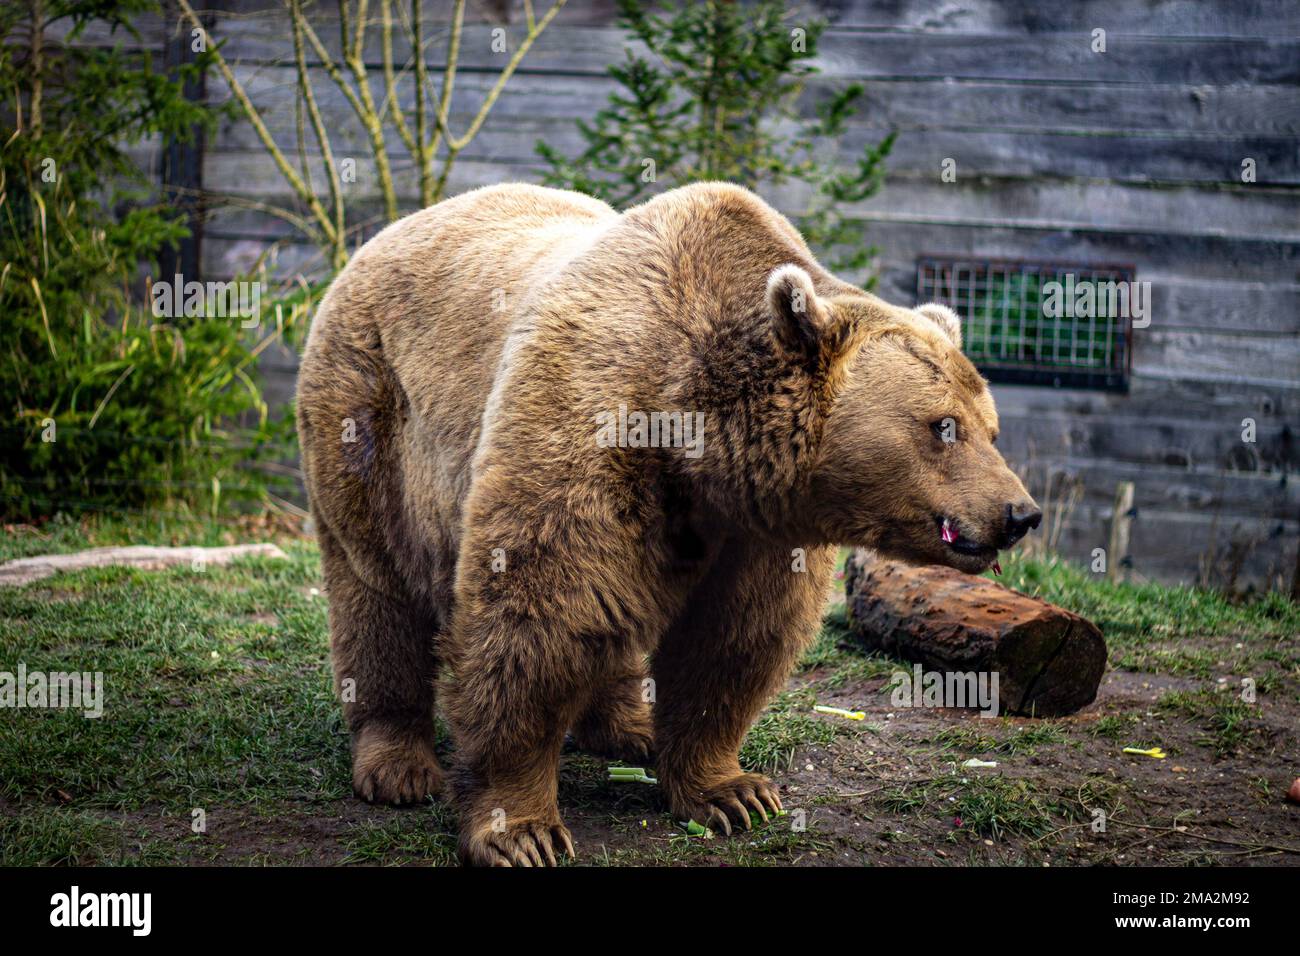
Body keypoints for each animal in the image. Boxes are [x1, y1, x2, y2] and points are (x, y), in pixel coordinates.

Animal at [295, 179, 1034, 868]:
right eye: (943, 425)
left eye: (991, 426)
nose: (1019, 513)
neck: (701, 434)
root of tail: (385, 234)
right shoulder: (591, 424)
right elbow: (537, 620)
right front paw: (520, 829)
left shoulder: (759, 528)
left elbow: (735, 639)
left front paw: (732, 792)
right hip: (369, 419)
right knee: (377, 592)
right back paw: (397, 764)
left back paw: (630, 725)